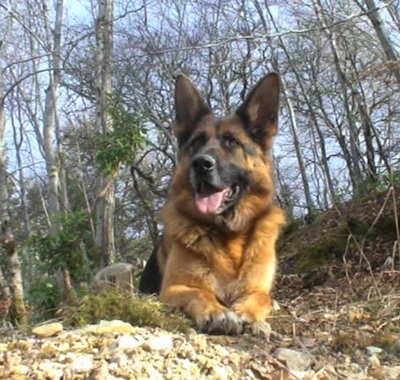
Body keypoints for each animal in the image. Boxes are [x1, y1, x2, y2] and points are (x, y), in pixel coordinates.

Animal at [139, 72, 286, 334]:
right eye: (197, 142)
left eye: (232, 142)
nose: (200, 163)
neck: (229, 234)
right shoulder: (175, 288)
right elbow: (200, 293)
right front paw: (219, 312)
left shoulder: (257, 288)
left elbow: (263, 297)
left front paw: (246, 313)